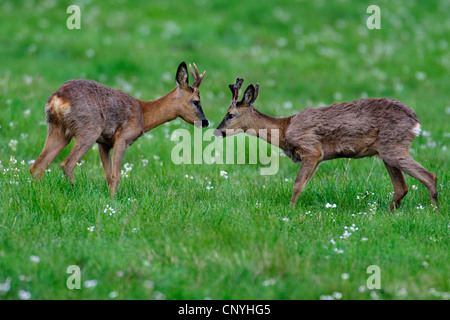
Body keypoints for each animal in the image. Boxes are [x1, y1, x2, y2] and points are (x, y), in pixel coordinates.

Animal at [29, 60, 209, 195]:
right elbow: (116, 174)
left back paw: (40, 191)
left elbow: (108, 175)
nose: (205, 122)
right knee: (67, 164)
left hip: (58, 130)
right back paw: (75, 190)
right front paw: (113, 199)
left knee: (38, 166)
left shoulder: (104, 143)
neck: (143, 114)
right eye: (196, 101)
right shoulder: (122, 138)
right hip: (89, 129)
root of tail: (57, 98)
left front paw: (110, 197)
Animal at [214, 79, 440, 211]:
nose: (217, 131)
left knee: (430, 176)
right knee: (401, 187)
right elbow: (303, 184)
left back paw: (435, 211)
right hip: (386, 151)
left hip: (393, 146)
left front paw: (290, 211)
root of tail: (416, 122)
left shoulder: (311, 149)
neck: (284, 129)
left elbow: (297, 184)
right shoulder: (318, 158)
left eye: (230, 115)